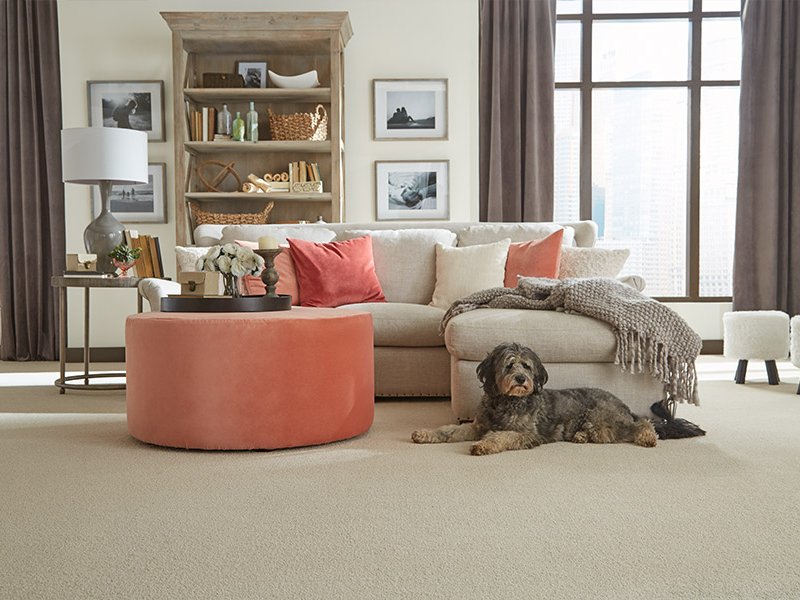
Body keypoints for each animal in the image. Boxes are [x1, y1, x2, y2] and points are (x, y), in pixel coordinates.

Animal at [410, 342, 660, 454]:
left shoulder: (527, 434)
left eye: (527, 366)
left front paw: (484, 445)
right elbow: (449, 430)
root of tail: (623, 404)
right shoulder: (477, 426)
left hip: (600, 415)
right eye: (509, 364)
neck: (507, 401)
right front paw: (425, 434)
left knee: (640, 424)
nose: (521, 379)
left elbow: (503, 435)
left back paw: (648, 438)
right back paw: (581, 436)